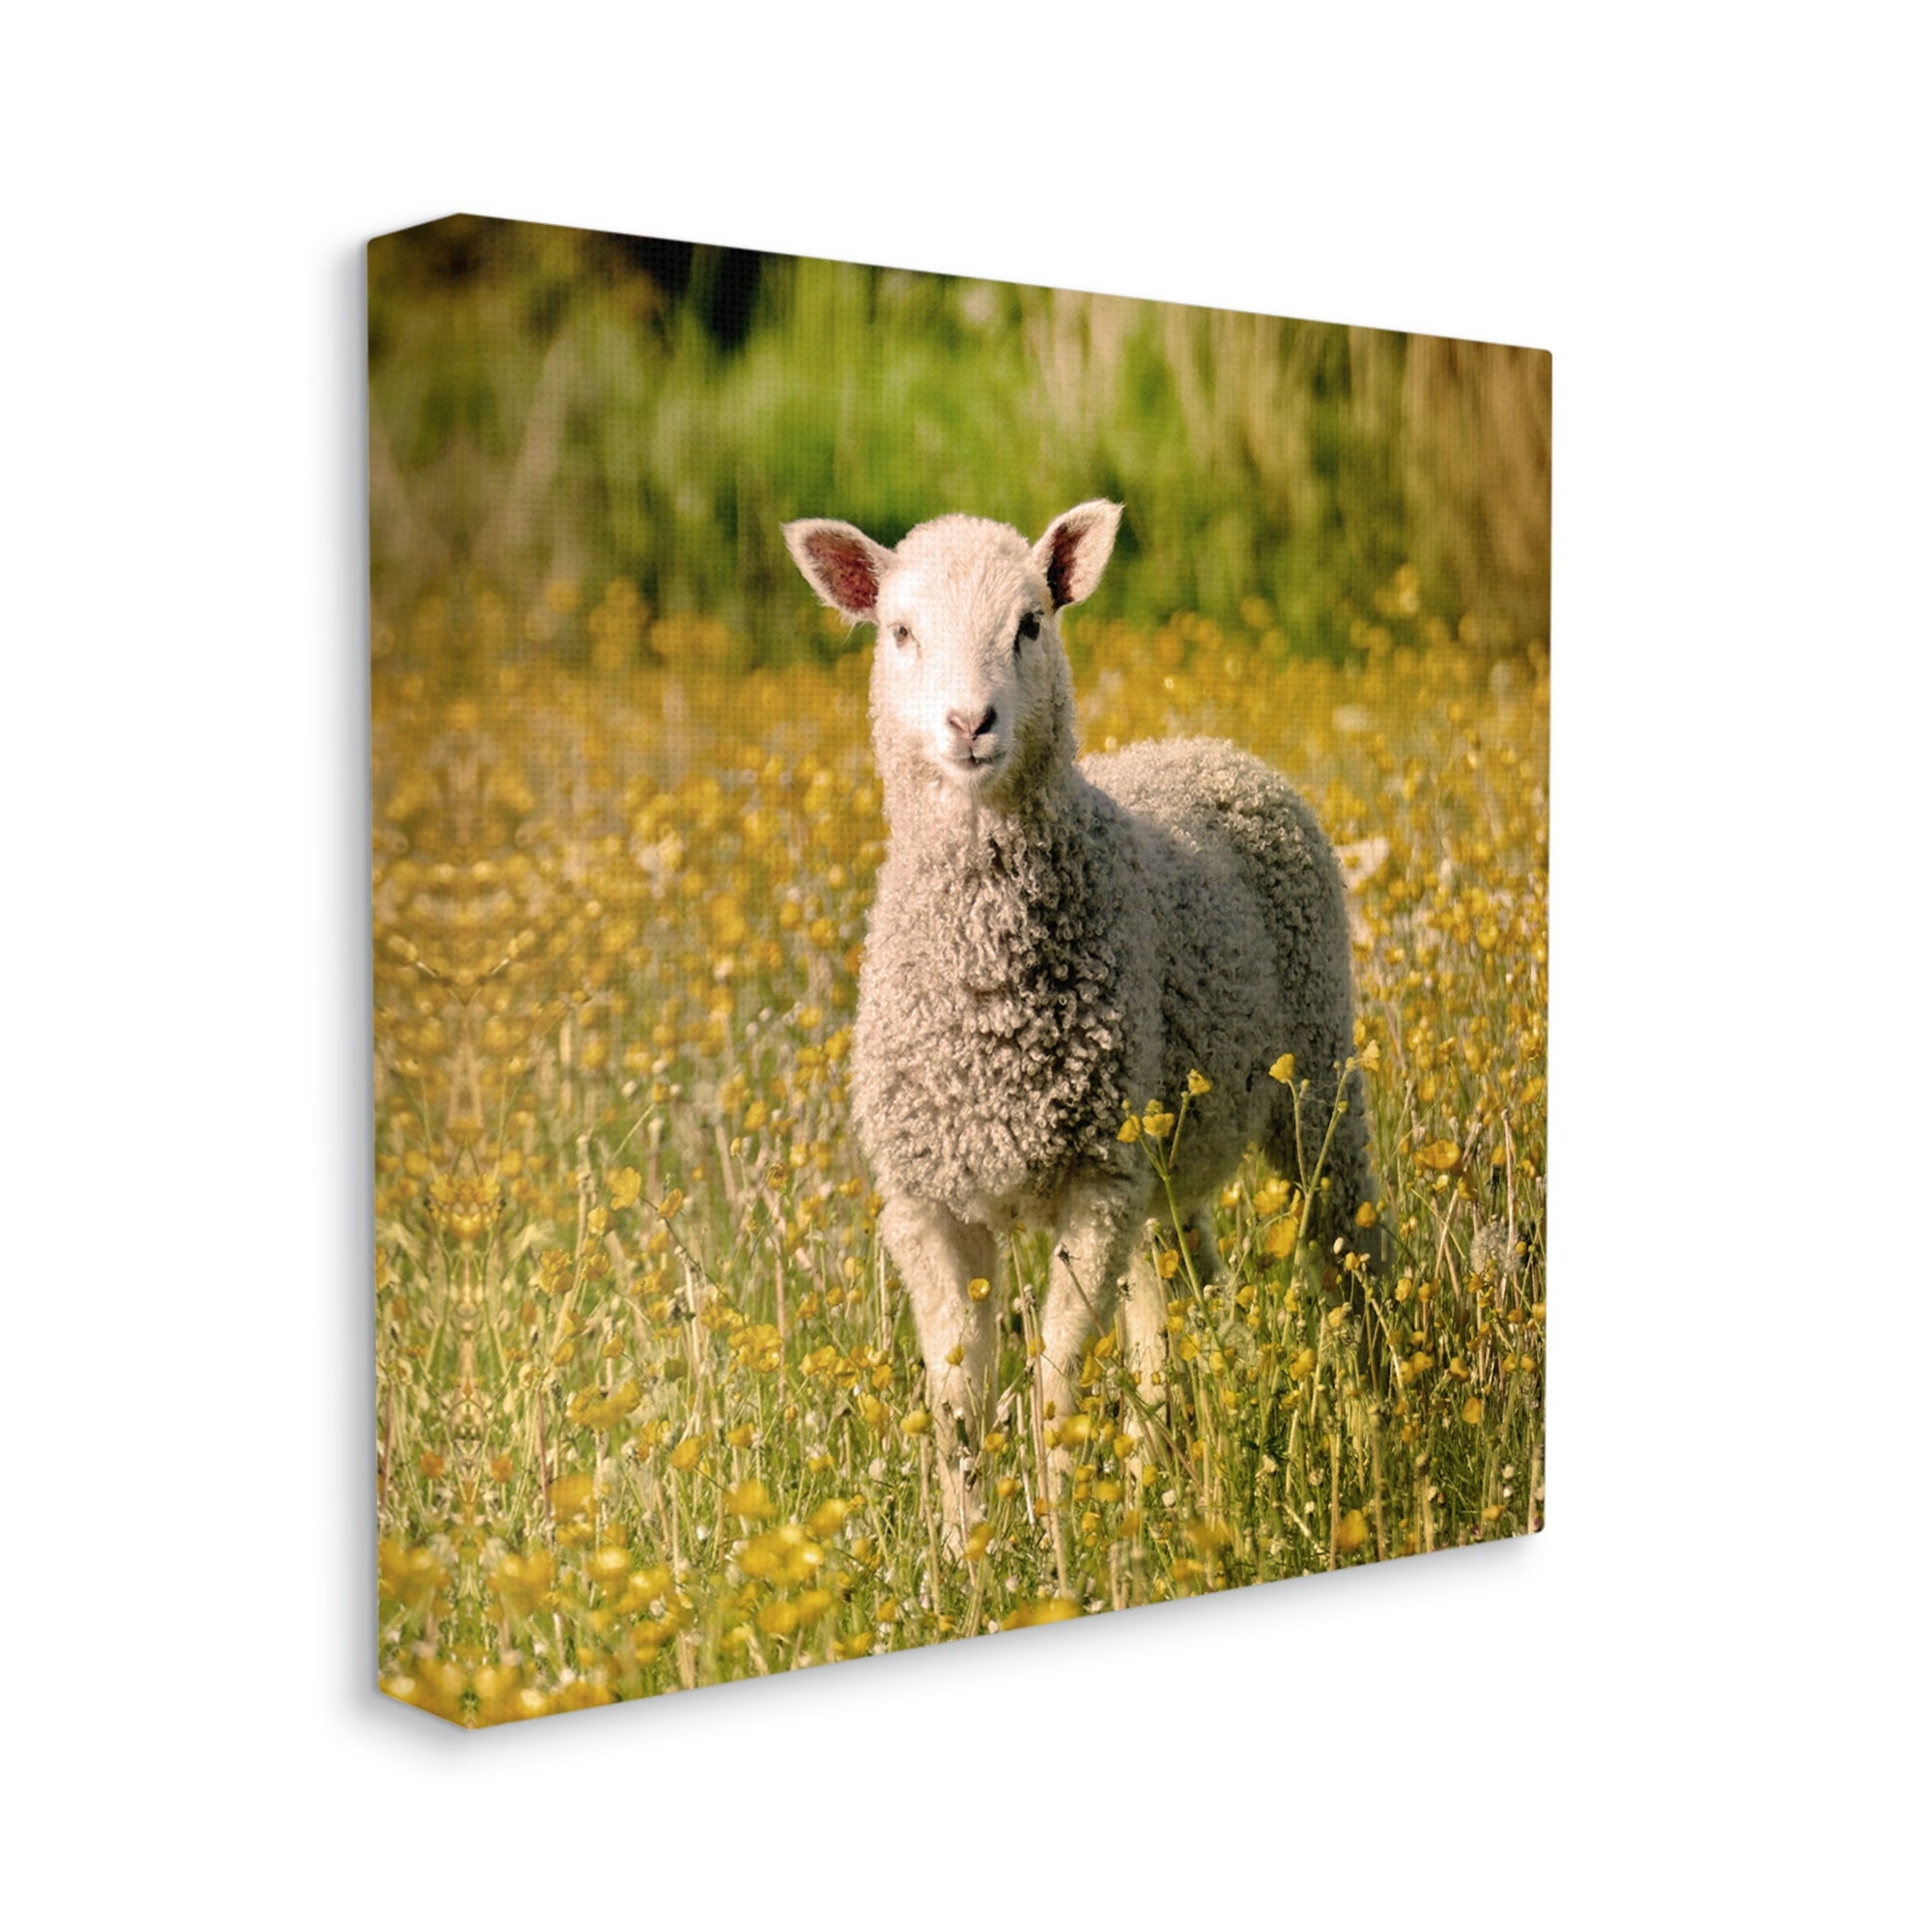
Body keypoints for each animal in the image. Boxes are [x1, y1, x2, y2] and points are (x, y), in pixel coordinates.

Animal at [783, 502, 1377, 1547]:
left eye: (1030, 622)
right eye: (898, 631)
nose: (968, 724)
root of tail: (1203, 743)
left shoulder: (1095, 1185)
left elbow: (1055, 1385)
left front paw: (1062, 1545)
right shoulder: (926, 1202)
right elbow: (958, 1393)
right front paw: (965, 1553)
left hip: (1312, 1070)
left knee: (1350, 1248)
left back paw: (1386, 1410)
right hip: (1165, 1159)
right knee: (1175, 1308)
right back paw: (1165, 1481)